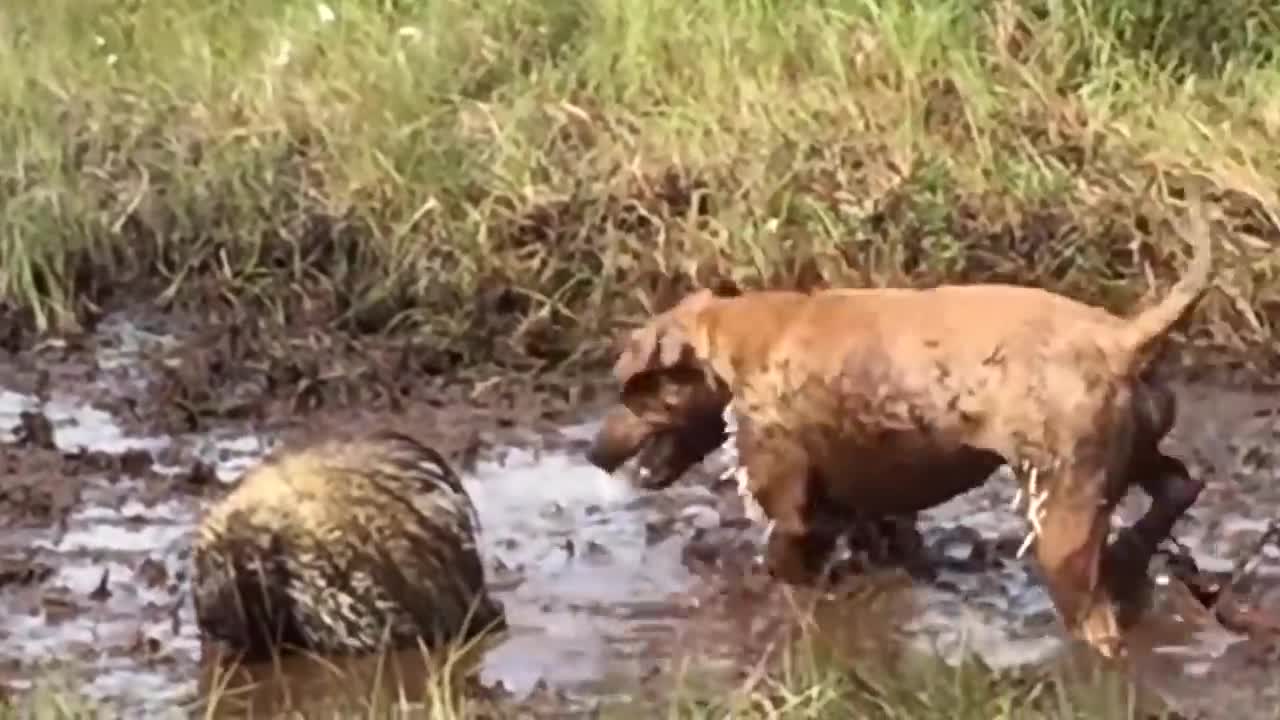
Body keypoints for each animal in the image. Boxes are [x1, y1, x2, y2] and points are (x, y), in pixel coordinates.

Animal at [586, 193, 1208, 653]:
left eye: (630, 391)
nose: (593, 454)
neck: (735, 338)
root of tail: (1124, 338)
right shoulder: (864, 510)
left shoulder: (794, 515)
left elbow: (782, 566)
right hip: (1133, 454)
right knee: (1180, 486)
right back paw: (1131, 555)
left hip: (1063, 523)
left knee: (1098, 618)